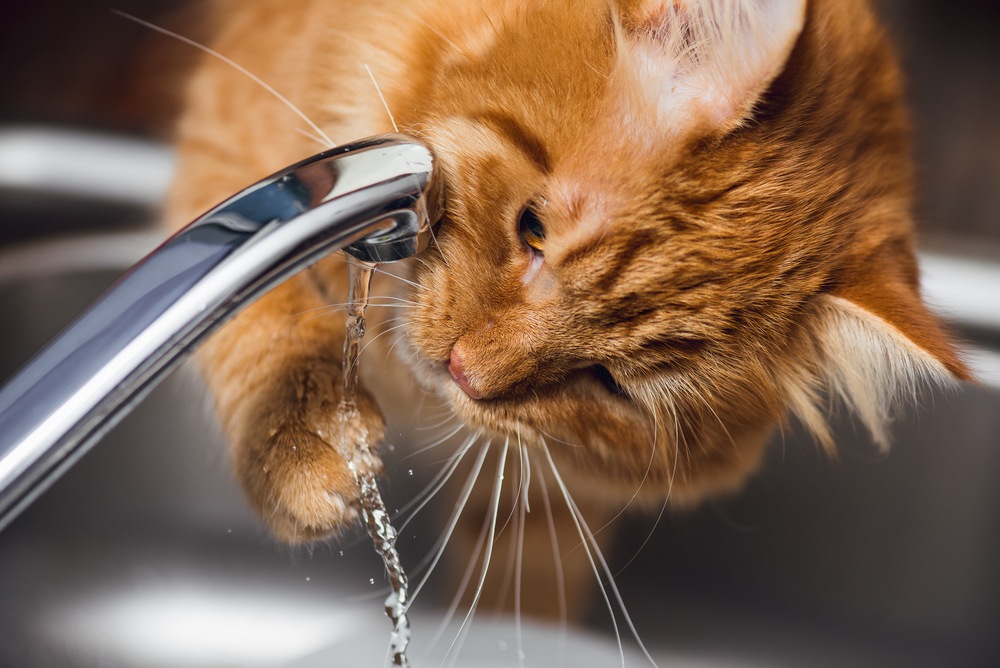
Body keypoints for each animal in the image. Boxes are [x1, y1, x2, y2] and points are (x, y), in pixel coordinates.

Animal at [164, 0, 968, 624]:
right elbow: (267, 319)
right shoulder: (239, 146)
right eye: (533, 229)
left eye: (609, 381)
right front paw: (310, 442)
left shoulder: (549, 500)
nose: (463, 371)